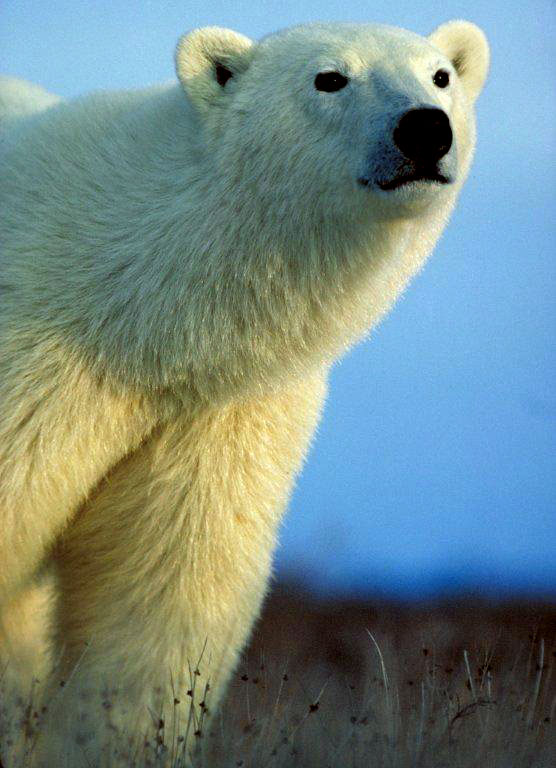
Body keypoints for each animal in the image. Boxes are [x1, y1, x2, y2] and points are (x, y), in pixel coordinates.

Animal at [0, 19, 489, 766]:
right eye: (329, 78)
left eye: (441, 75)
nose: (425, 129)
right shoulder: (37, 366)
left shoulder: (217, 414)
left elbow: (164, 596)